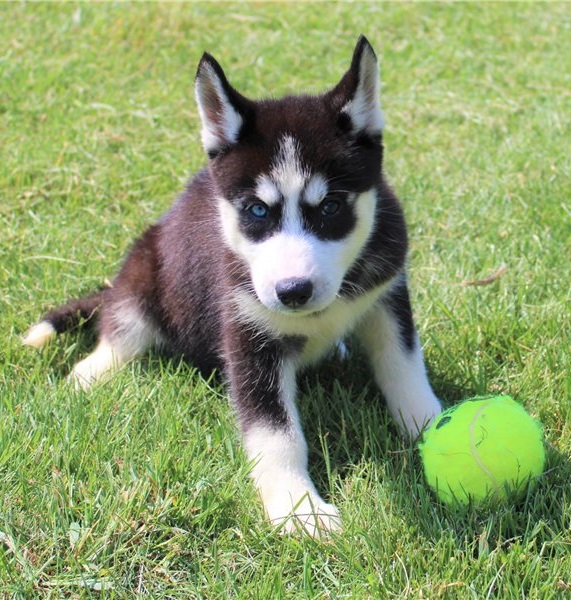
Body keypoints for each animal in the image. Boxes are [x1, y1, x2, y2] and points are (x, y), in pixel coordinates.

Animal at [24, 36, 444, 536]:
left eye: (331, 207)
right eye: (258, 210)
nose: (293, 291)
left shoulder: (387, 297)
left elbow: (405, 371)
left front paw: (434, 425)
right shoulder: (247, 334)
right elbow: (276, 432)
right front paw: (298, 507)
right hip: (144, 272)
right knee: (121, 330)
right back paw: (88, 375)